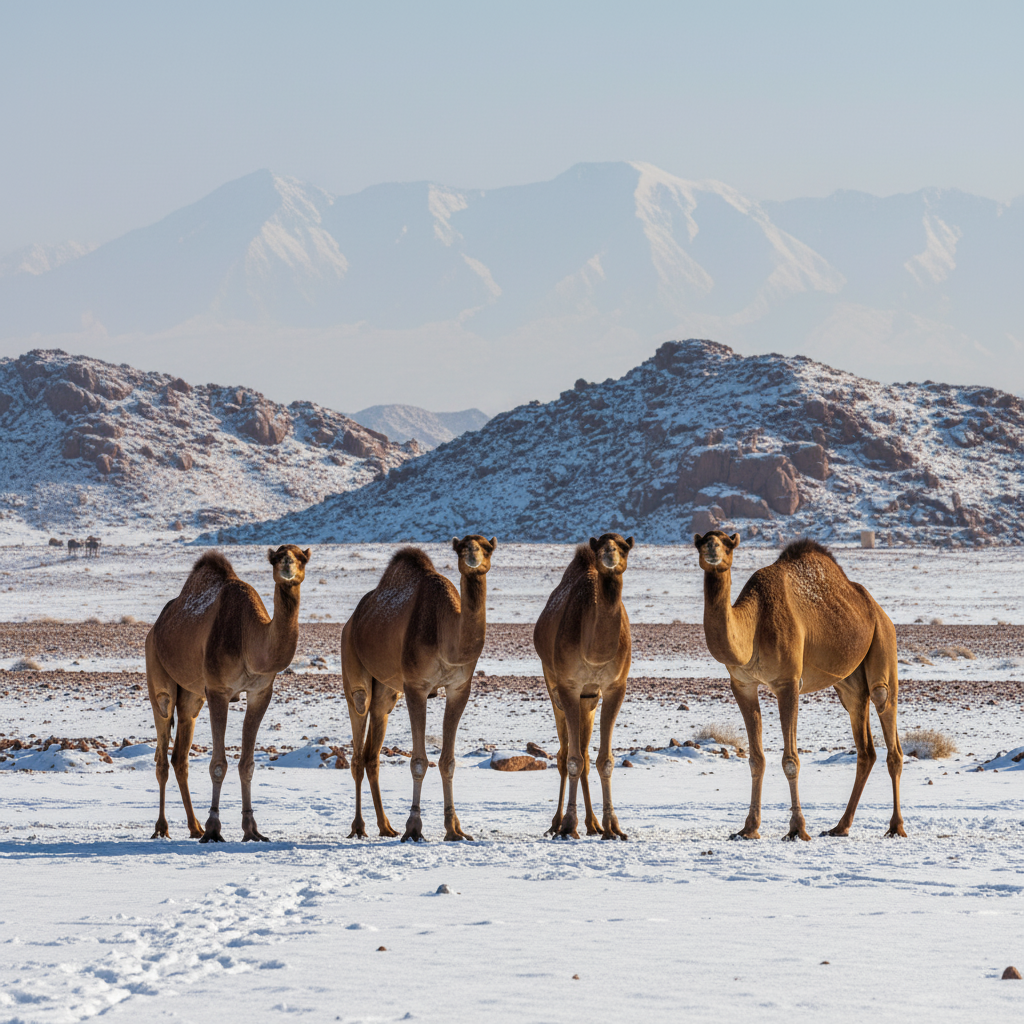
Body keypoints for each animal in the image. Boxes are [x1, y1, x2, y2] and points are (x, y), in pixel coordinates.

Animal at [145, 545, 309, 842]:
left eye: (302, 558)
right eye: (276, 557)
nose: (287, 565)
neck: (249, 638)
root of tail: (156, 628)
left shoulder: (260, 692)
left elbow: (248, 764)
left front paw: (251, 829)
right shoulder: (218, 691)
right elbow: (218, 764)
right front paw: (213, 828)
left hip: (192, 696)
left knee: (180, 758)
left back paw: (193, 826)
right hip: (158, 674)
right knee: (162, 751)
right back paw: (163, 827)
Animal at [342, 536, 495, 842]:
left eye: (488, 547)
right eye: (462, 547)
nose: (473, 555)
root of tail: (353, 620)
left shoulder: (460, 688)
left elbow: (448, 761)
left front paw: (454, 829)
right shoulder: (416, 686)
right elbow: (419, 762)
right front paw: (413, 827)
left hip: (386, 693)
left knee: (372, 755)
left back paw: (385, 826)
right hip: (352, 666)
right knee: (357, 744)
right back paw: (359, 827)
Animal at [533, 534, 633, 840]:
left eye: (624, 547)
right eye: (602, 545)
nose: (609, 553)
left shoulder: (615, 687)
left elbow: (605, 760)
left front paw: (613, 827)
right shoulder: (568, 687)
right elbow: (573, 760)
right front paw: (568, 825)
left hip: (589, 699)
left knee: (587, 754)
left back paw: (593, 823)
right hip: (554, 687)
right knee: (565, 755)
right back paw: (557, 824)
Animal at [694, 532, 905, 841]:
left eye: (728, 544)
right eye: (700, 542)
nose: (712, 548)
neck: (754, 622)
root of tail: (877, 610)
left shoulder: (788, 681)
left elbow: (791, 761)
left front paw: (797, 828)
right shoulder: (742, 684)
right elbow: (756, 759)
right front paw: (749, 828)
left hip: (883, 641)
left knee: (886, 714)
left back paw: (896, 826)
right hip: (849, 684)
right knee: (865, 746)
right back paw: (840, 826)